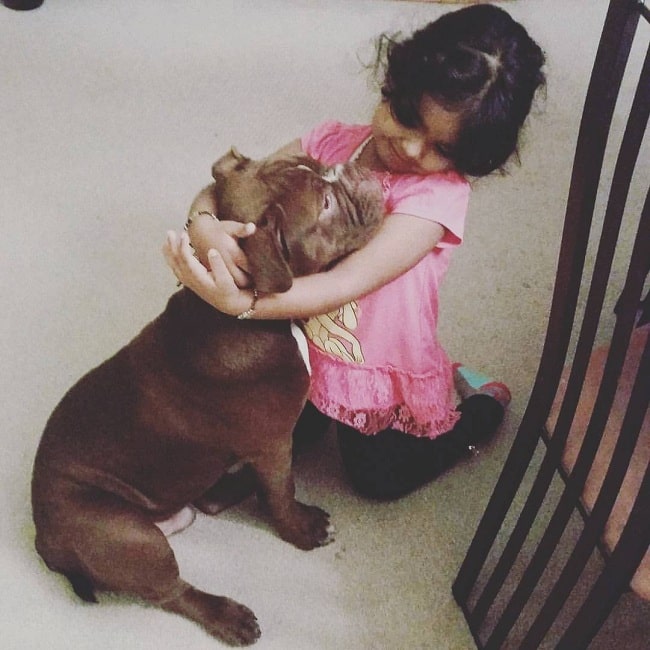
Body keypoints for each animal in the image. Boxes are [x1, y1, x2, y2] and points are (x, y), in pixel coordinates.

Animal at [30, 151, 382, 644]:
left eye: (314, 161)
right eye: (326, 204)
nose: (351, 169)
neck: (230, 315)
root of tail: (43, 539)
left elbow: (277, 486)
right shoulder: (273, 443)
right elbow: (283, 489)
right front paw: (301, 528)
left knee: (209, 501)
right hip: (131, 538)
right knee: (172, 591)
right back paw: (229, 616)